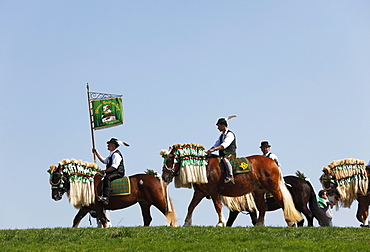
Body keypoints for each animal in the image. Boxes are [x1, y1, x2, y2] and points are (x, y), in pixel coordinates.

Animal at [48, 164, 178, 227]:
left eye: (57, 177)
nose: (54, 196)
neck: (88, 184)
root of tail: (156, 177)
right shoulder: (86, 207)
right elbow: (76, 220)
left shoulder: (98, 208)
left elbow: (104, 221)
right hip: (144, 203)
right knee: (147, 218)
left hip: (157, 200)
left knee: (168, 213)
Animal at [160, 145, 302, 227]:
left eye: (170, 159)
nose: (164, 177)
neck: (204, 167)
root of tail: (272, 162)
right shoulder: (200, 193)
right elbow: (191, 206)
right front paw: (187, 223)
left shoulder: (214, 192)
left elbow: (217, 207)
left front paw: (220, 223)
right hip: (258, 191)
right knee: (263, 207)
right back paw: (259, 225)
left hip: (273, 187)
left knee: (282, 202)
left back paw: (290, 222)